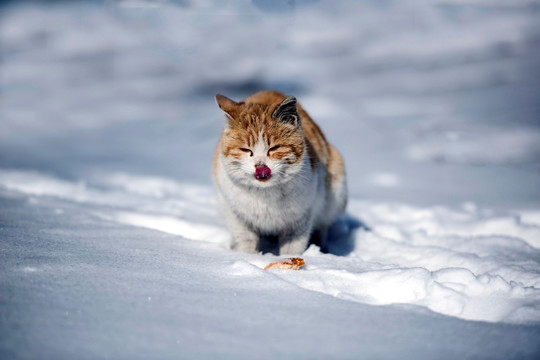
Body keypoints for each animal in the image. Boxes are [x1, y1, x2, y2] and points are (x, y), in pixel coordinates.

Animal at [212, 89, 346, 253]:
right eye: (246, 149)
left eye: (274, 148)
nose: (261, 167)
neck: (265, 194)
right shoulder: (237, 216)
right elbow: (246, 242)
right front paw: (247, 256)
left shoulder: (299, 220)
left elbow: (292, 248)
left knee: (323, 225)